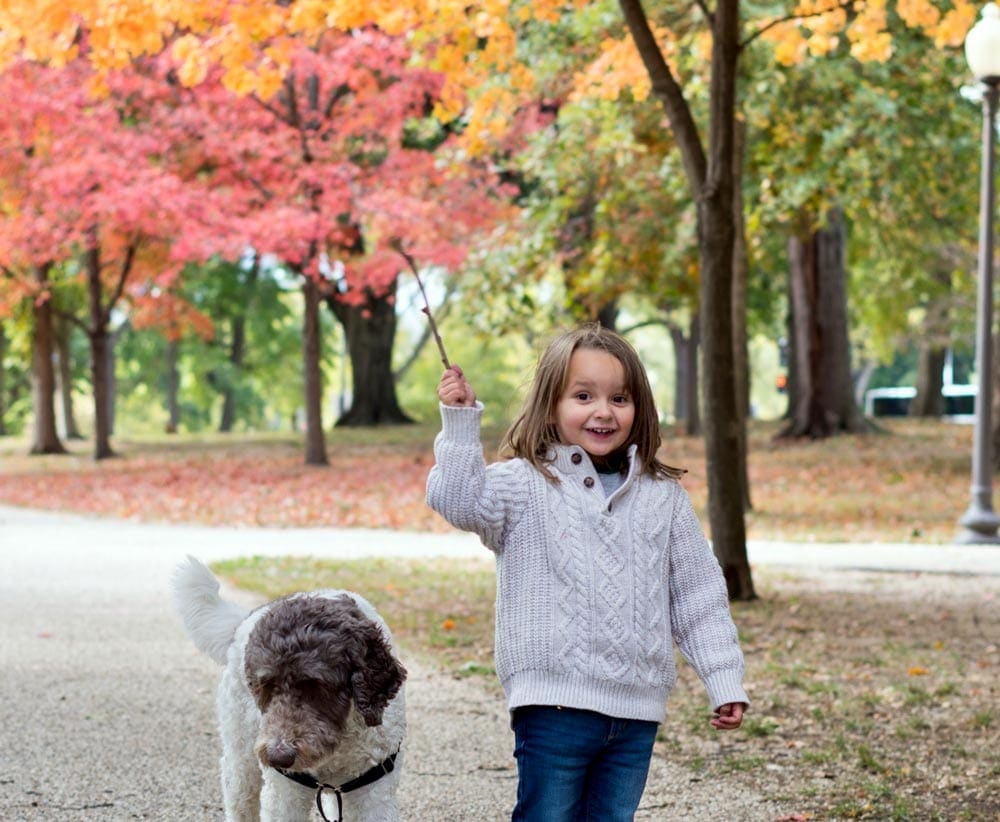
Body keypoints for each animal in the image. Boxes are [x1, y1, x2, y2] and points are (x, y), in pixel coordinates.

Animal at [174, 556, 408, 820]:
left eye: (317, 685)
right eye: (265, 684)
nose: (279, 756)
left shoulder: (375, 795)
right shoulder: (285, 793)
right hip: (241, 757)